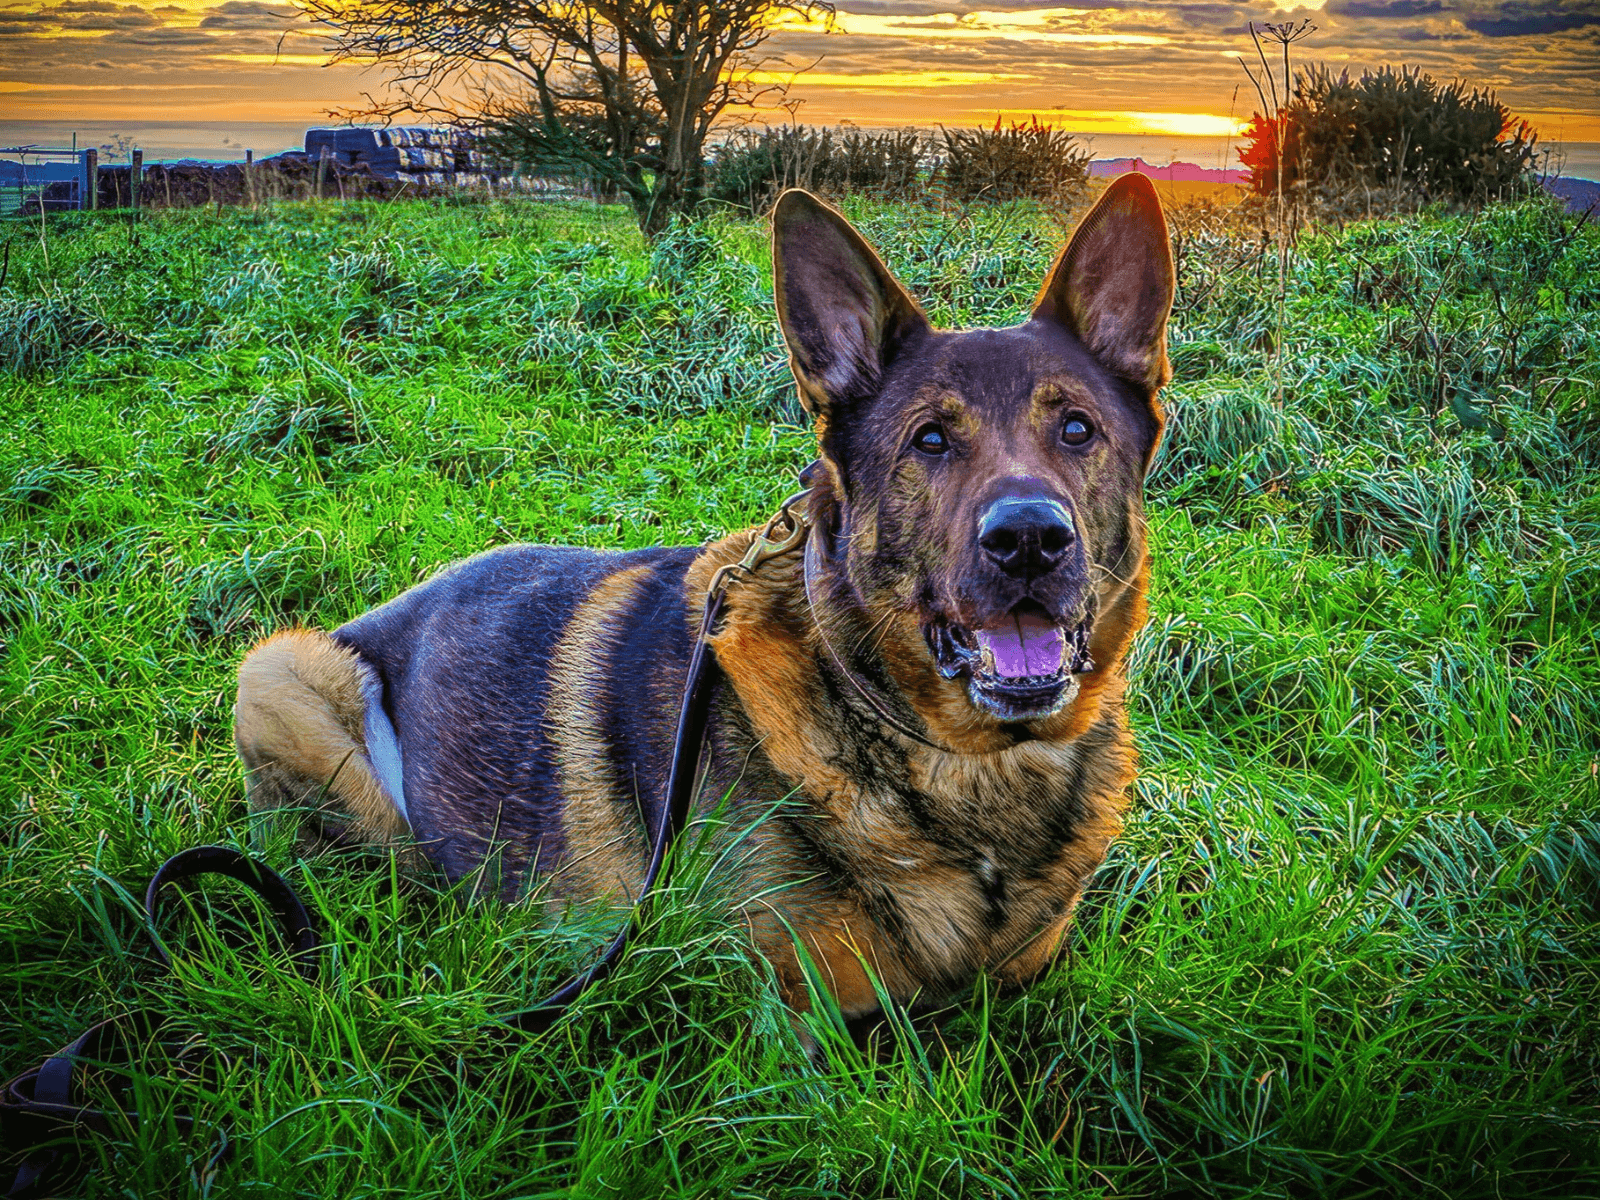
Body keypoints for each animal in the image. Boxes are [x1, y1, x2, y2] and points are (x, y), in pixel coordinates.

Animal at [232, 176, 1171, 1024]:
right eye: (931, 440)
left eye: (1077, 429)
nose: (1030, 540)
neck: (960, 760)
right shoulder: (787, 1018)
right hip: (285, 670)